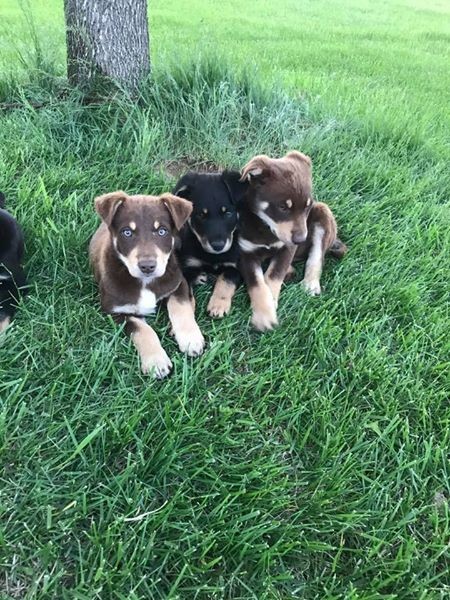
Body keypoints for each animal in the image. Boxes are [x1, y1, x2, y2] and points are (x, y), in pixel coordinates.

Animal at [89, 190, 206, 378]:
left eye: (162, 231)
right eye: (127, 232)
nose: (147, 266)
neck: (145, 282)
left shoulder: (177, 284)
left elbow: (181, 308)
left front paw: (190, 339)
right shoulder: (118, 312)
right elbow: (144, 331)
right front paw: (156, 362)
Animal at [173, 170, 250, 318]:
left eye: (227, 213)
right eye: (201, 215)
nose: (218, 246)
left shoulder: (236, 265)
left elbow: (225, 281)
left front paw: (218, 306)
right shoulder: (185, 267)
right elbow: (186, 295)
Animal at [239, 148, 348, 330]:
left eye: (307, 207)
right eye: (283, 207)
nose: (301, 239)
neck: (266, 228)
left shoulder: (287, 248)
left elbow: (274, 275)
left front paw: (271, 304)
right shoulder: (246, 252)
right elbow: (258, 284)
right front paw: (264, 316)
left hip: (323, 212)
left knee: (316, 257)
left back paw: (310, 284)